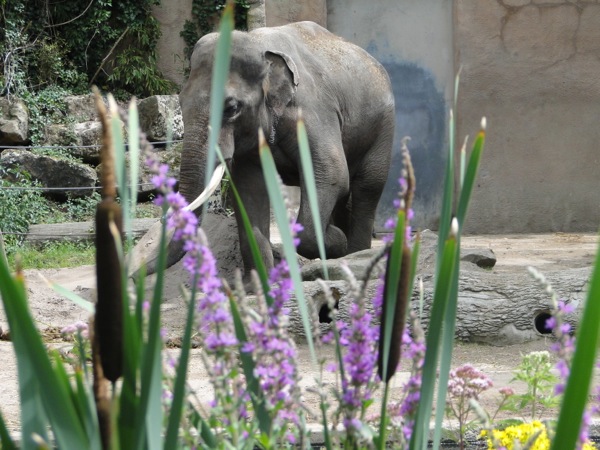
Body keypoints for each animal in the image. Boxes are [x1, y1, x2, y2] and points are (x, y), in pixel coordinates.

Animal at [139, 21, 396, 278]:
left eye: (231, 108)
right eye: (181, 103)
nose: (134, 274)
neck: (259, 44)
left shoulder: (313, 112)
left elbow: (331, 173)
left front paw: (336, 242)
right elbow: (250, 189)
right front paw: (260, 284)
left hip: (384, 126)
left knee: (367, 186)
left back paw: (354, 255)